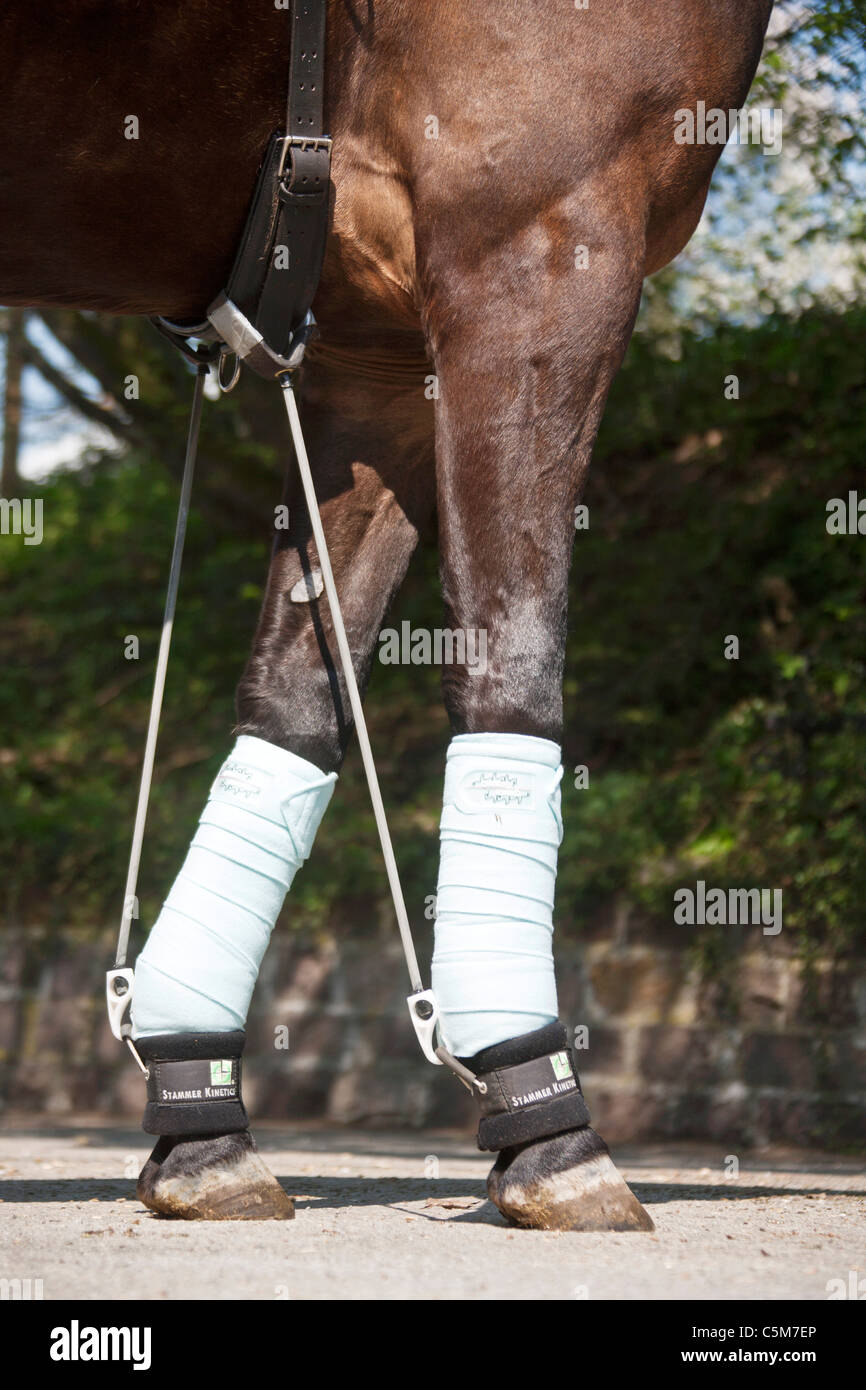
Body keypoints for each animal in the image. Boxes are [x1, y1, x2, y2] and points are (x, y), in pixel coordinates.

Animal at [0, 0, 774, 1228]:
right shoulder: (540, 242)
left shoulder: (378, 352)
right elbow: (514, 655)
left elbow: (297, 698)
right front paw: (544, 1117)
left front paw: (199, 1113)